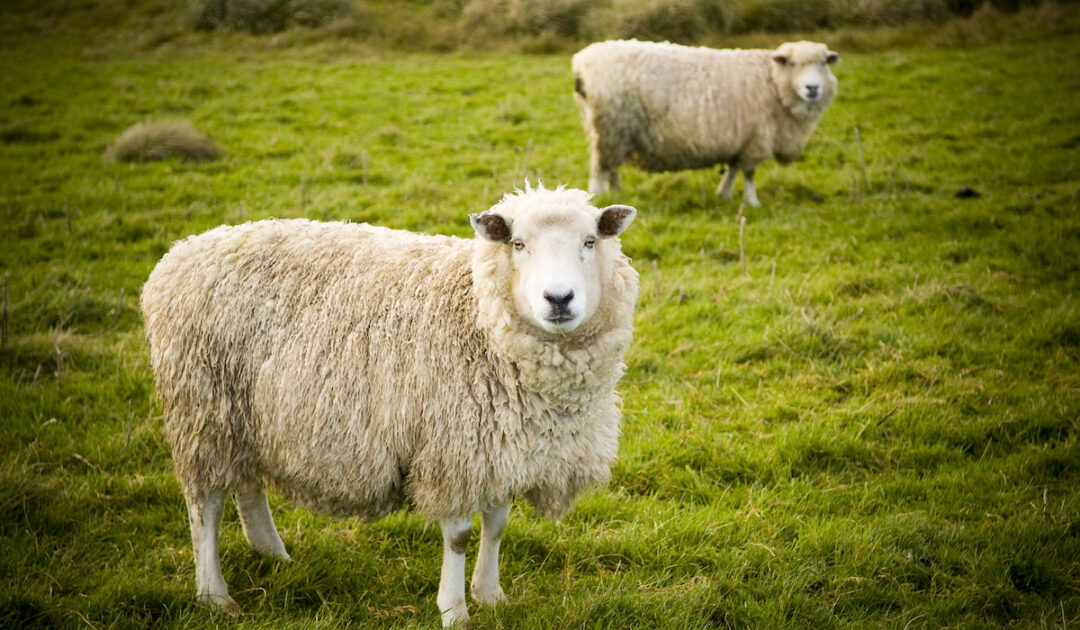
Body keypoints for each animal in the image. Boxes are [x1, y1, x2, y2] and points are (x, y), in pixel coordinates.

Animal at [140, 184, 639, 627]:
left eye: (590, 241)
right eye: (518, 244)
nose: (559, 299)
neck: (477, 314)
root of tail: (181, 253)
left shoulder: (497, 445)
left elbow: (497, 523)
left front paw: (491, 594)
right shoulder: (450, 446)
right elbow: (459, 536)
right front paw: (454, 610)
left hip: (246, 413)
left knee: (246, 483)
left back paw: (272, 553)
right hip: (202, 407)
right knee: (204, 505)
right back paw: (214, 595)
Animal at [572, 39, 839, 206]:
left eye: (823, 63)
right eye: (793, 64)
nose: (812, 88)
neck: (774, 81)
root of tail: (581, 63)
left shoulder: (740, 139)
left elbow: (732, 168)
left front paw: (724, 194)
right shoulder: (757, 137)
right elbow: (749, 173)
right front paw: (752, 202)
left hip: (613, 131)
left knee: (611, 167)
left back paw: (616, 192)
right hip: (610, 126)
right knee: (600, 169)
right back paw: (598, 197)